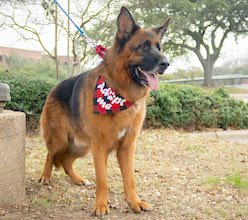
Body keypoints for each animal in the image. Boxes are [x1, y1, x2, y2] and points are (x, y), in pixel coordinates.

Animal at [39, 6, 170, 216]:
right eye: (143, 46)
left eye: (159, 47)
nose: (166, 63)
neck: (120, 92)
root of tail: (55, 86)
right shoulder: (99, 148)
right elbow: (102, 180)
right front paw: (101, 205)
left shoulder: (127, 147)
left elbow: (130, 179)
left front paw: (135, 202)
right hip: (61, 139)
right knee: (51, 154)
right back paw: (45, 176)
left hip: (82, 146)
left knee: (66, 161)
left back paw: (78, 179)